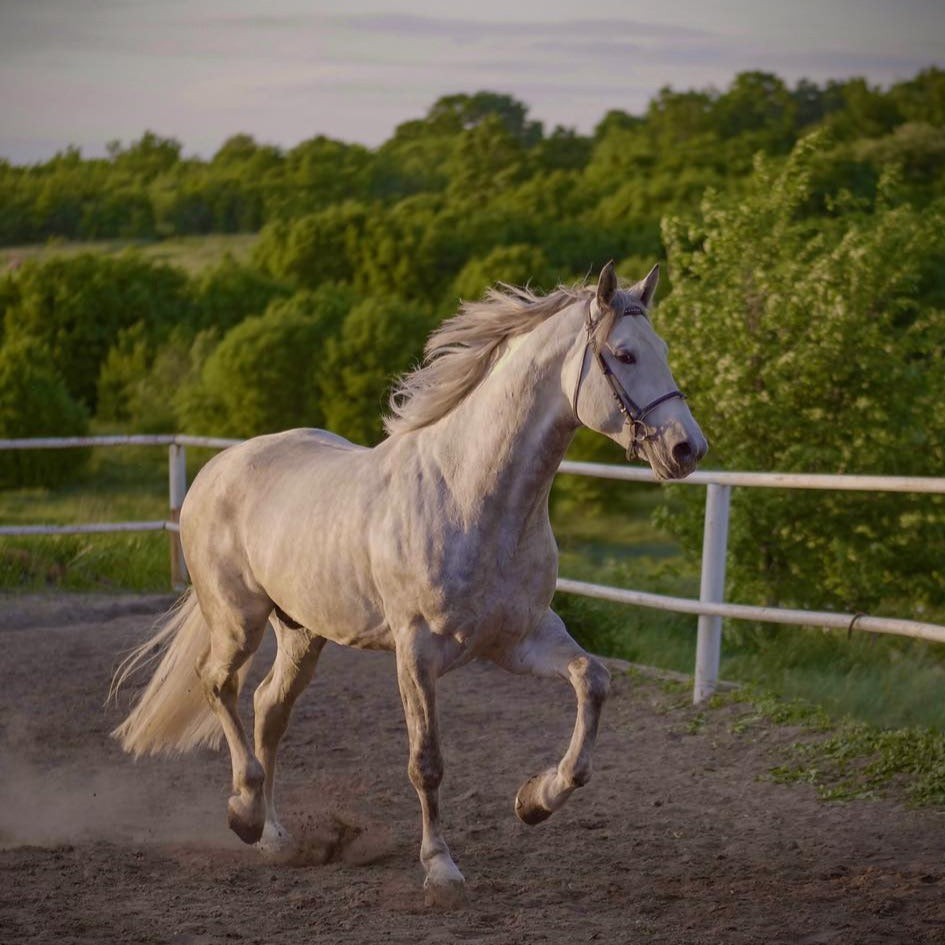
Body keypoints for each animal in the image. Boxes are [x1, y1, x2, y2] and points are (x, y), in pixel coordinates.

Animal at [112, 260, 700, 908]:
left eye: (662, 350)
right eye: (623, 354)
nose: (687, 448)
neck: (474, 498)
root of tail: (218, 467)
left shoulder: (519, 641)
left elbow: (592, 682)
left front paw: (535, 800)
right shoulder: (416, 652)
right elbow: (427, 762)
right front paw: (441, 868)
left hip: (302, 634)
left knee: (269, 708)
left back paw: (275, 836)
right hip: (238, 620)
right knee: (219, 684)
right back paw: (243, 813)